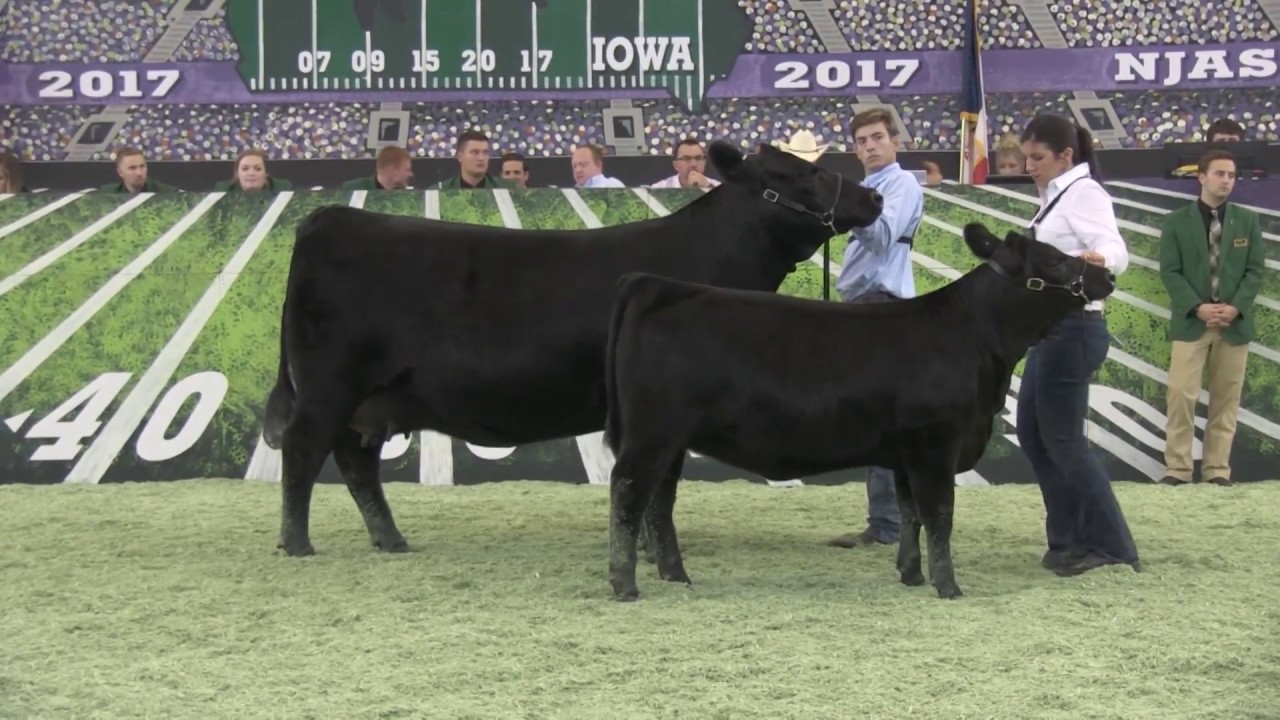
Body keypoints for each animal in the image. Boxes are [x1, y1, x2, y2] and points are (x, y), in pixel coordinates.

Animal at [262, 139, 885, 557]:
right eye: (802, 173)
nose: (874, 197)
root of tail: (328, 217)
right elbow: (657, 487)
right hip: (328, 387)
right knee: (303, 452)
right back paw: (297, 544)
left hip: (370, 397)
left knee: (355, 462)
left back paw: (390, 539)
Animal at [600, 222, 1118, 601]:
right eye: (1055, 258)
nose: (1108, 275)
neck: (975, 339)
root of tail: (652, 284)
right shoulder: (935, 443)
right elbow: (940, 513)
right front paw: (948, 586)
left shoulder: (907, 451)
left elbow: (911, 512)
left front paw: (911, 574)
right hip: (652, 434)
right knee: (628, 493)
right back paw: (625, 584)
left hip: (672, 441)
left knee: (659, 503)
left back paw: (676, 575)